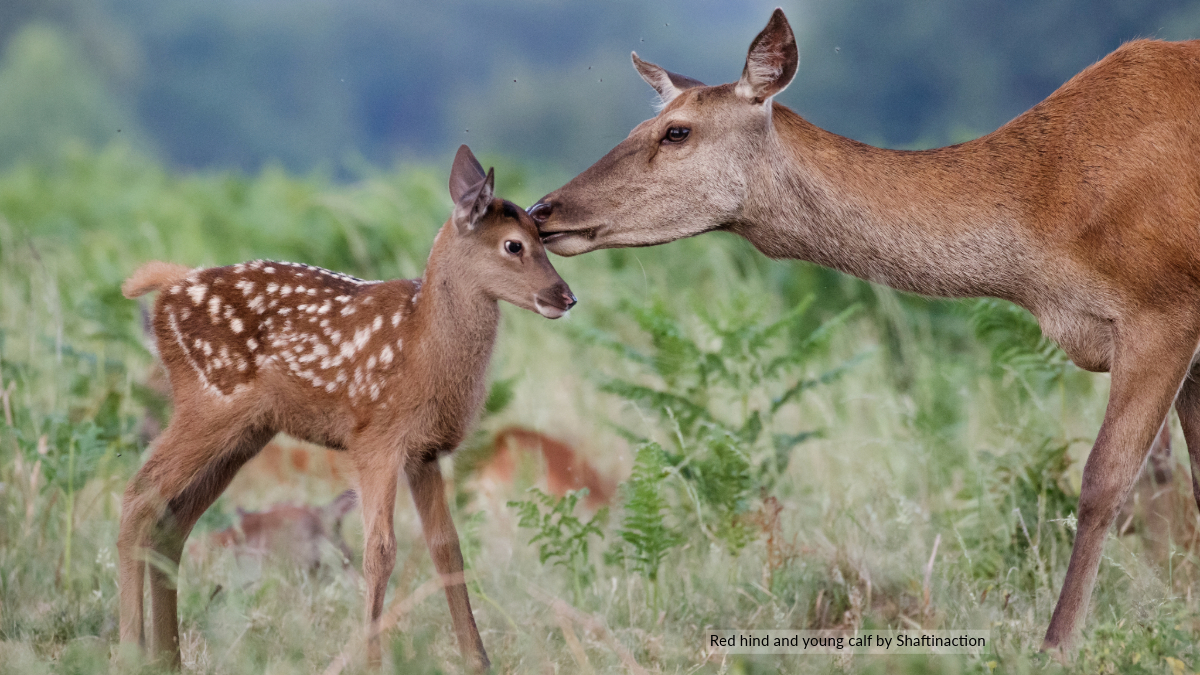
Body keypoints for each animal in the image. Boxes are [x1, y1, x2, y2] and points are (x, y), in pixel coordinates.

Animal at [118, 142, 576, 667]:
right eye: (514, 245)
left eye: (544, 237)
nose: (565, 296)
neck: (423, 347)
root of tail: (167, 289)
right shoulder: (375, 438)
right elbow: (380, 550)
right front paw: (374, 661)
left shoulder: (423, 452)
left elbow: (447, 549)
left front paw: (477, 661)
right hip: (209, 402)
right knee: (137, 496)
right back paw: (129, 650)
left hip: (245, 431)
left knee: (171, 520)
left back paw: (167, 658)